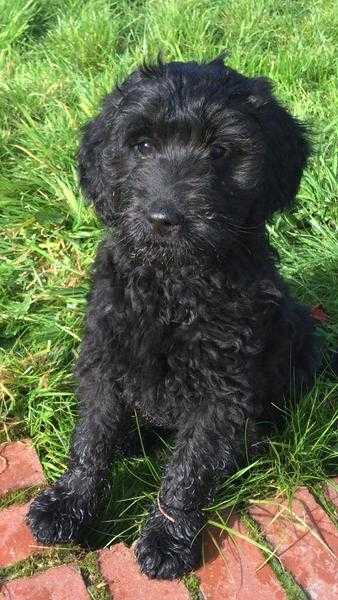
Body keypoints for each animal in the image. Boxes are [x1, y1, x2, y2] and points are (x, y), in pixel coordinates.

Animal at [27, 58, 320, 580]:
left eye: (220, 151)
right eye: (142, 145)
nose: (165, 218)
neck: (174, 283)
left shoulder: (223, 388)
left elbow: (189, 467)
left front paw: (167, 537)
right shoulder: (104, 356)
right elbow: (91, 439)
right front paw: (67, 505)